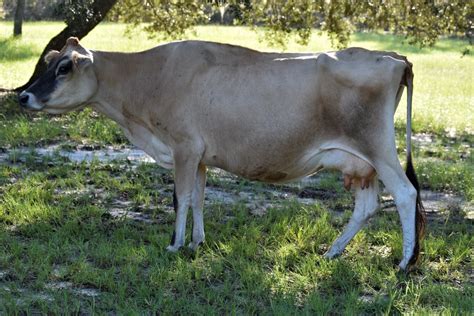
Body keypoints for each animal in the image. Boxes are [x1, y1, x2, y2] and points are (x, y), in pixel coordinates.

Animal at [18, 36, 426, 270]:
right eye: (49, 60)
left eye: (65, 67)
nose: (23, 96)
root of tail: (394, 57)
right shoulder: (199, 154)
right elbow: (199, 197)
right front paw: (197, 242)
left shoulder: (183, 146)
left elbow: (180, 197)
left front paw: (174, 245)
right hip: (361, 163)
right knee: (367, 205)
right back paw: (331, 253)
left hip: (377, 147)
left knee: (405, 194)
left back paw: (404, 262)